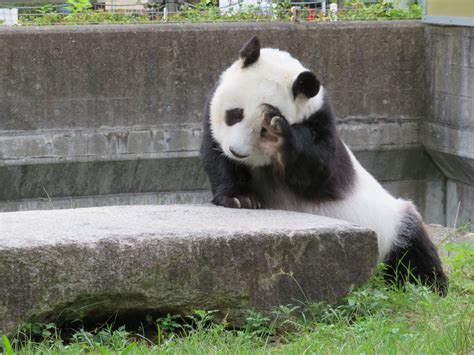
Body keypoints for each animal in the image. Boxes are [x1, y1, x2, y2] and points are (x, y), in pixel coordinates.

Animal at [201, 36, 448, 294]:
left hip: (390, 225)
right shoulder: (214, 123)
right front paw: (241, 198)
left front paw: (280, 135)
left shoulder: (323, 127)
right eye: (235, 114)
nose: (237, 152)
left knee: (411, 249)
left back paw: (427, 284)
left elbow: (318, 172)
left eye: (262, 131)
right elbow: (217, 157)